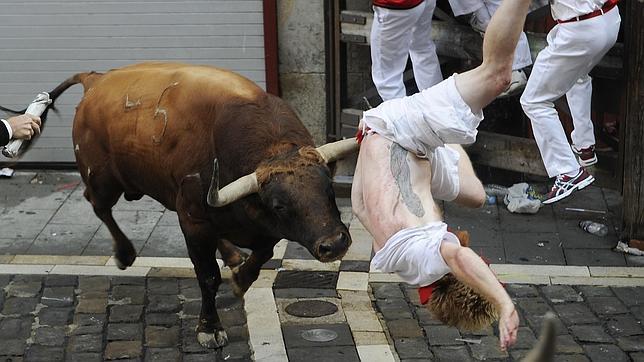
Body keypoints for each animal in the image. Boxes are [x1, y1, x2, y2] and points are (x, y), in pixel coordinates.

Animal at [44, 62, 358, 348]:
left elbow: (263, 254)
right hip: (102, 180)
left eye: (329, 188)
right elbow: (208, 276)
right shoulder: (194, 221)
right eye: (279, 205)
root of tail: (95, 80)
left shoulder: (261, 227)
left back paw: (232, 255)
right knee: (98, 206)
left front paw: (240, 278)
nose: (335, 244)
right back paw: (124, 253)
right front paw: (210, 327)